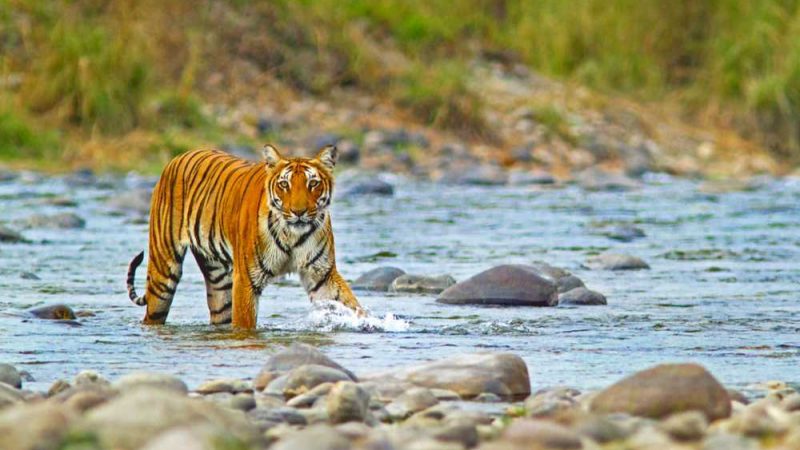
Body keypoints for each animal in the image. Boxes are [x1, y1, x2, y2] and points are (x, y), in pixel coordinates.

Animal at [125, 146, 366, 328]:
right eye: (284, 184)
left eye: (313, 183)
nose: (298, 212)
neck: (292, 234)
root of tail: (177, 157)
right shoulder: (246, 280)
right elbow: (245, 324)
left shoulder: (322, 274)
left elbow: (349, 304)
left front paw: (368, 323)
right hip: (163, 272)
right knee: (153, 312)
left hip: (219, 281)